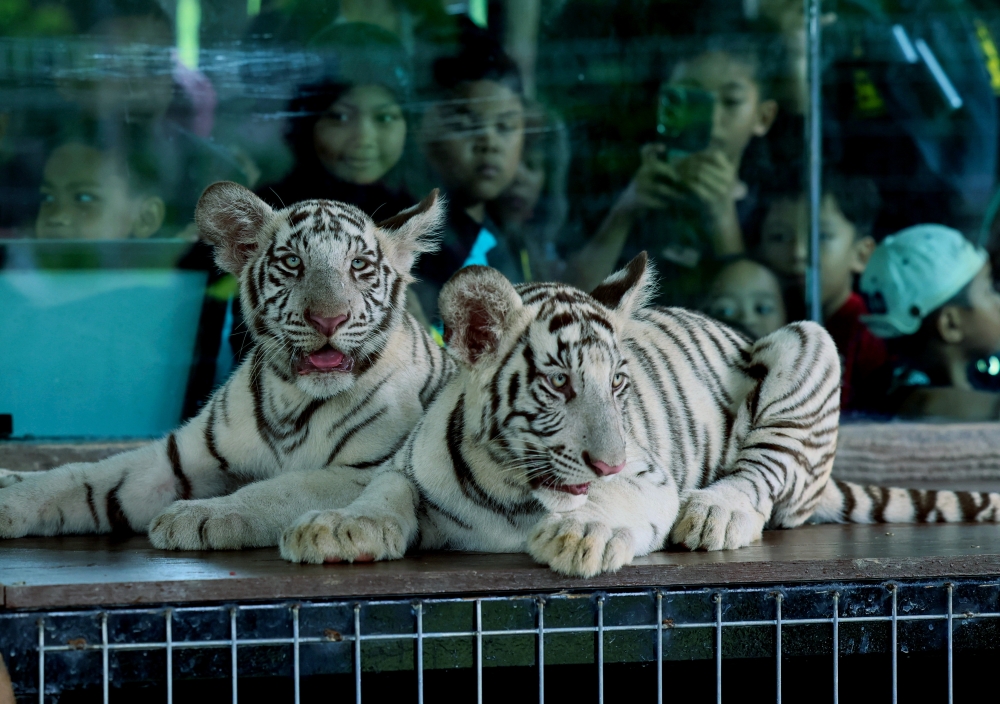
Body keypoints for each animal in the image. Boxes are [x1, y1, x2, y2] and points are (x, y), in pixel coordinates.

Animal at [0, 182, 456, 550]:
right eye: (293, 262)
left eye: (359, 265)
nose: (329, 319)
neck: (293, 401)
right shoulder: (173, 459)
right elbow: (78, 477)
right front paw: (14, 500)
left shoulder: (367, 469)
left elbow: (285, 487)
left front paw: (198, 516)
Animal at [280, 254, 1000, 577]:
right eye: (560, 384)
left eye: (620, 384)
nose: (609, 459)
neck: (510, 489)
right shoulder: (407, 465)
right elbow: (384, 490)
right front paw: (338, 527)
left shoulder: (649, 477)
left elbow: (615, 499)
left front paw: (583, 535)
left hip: (808, 341)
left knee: (769, 473)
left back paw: (714, 514)